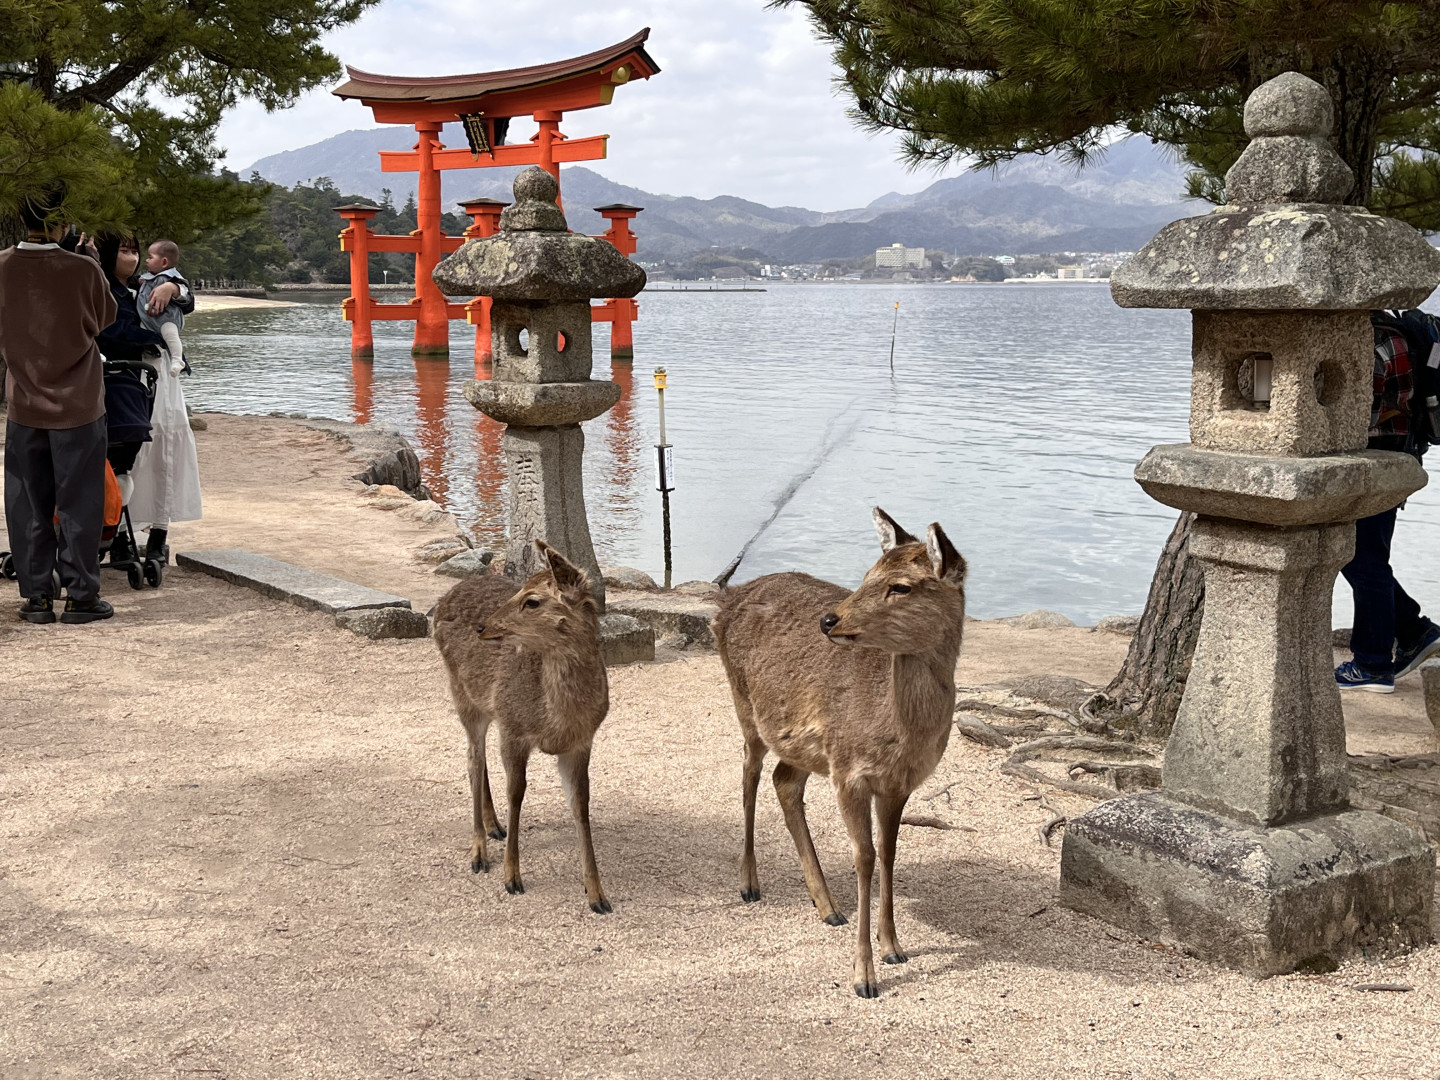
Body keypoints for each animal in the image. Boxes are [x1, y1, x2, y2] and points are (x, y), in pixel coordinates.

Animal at [426, 541, 607, 915]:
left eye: (532, 600)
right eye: (519, 591)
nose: (483, 627)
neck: (557, 719)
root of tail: (444, 598)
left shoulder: (581, 743)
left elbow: (581, 803)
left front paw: (597, 894)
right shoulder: (513, 729)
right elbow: (517, 792)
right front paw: (512, 877)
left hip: (485, 708)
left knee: (479, 762)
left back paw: (494, 826)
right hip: (463, 697)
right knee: (472, 759)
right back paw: (479, 852)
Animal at [711, 512, 967, 1002]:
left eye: (901, 586)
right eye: (867, 574)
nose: (829, 619)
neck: (896, 732)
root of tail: (726, 598)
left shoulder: (898, 783)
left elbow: (889, 852)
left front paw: (894, 948)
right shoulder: (849, 771)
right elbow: (863, 856)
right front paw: (864, 976)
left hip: (803, 746)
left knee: (783, 780)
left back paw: (827, 905)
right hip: (746, 707)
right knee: (749, 773)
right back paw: (749, 884)